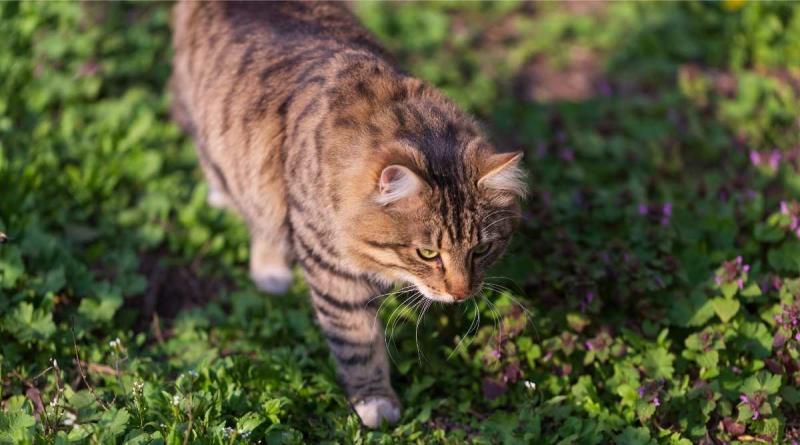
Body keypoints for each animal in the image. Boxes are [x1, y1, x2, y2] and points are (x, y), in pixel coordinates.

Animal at [170, 1, 524, 428]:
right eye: (427, 254)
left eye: (481, 250)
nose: (460, 294)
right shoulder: (333, 272)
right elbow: (357, 343)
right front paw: (375, 401)